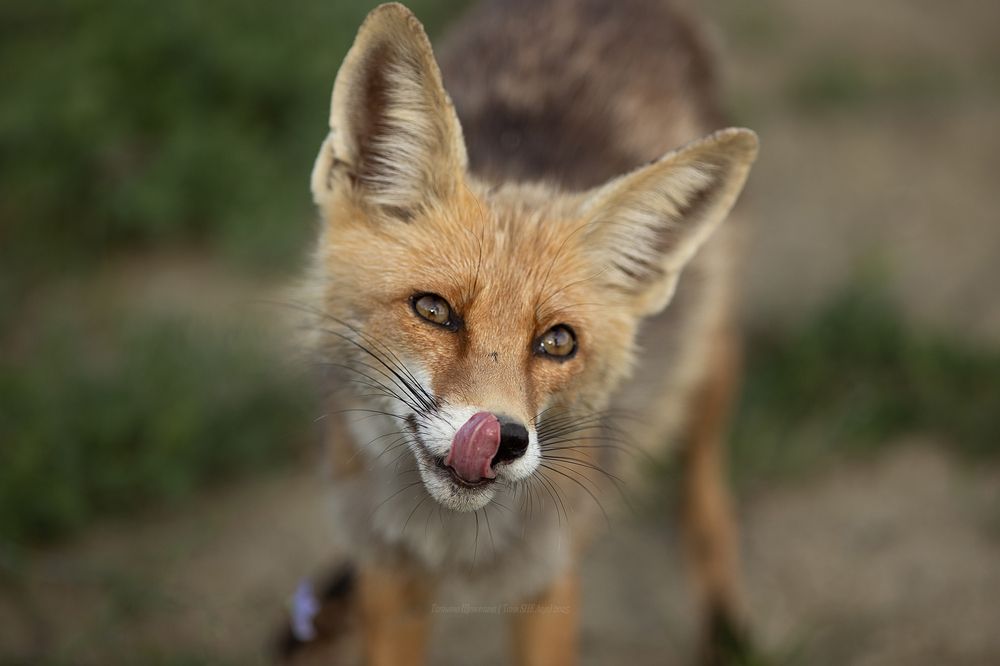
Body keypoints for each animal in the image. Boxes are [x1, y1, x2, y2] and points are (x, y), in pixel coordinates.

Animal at [285, 0, 758, 664]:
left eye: (557, 342)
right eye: (433, 310)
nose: (503, 438)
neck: (449, 540)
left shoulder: (547, 581)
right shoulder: (390, 577)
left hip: (708, 356)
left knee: (705, 485)